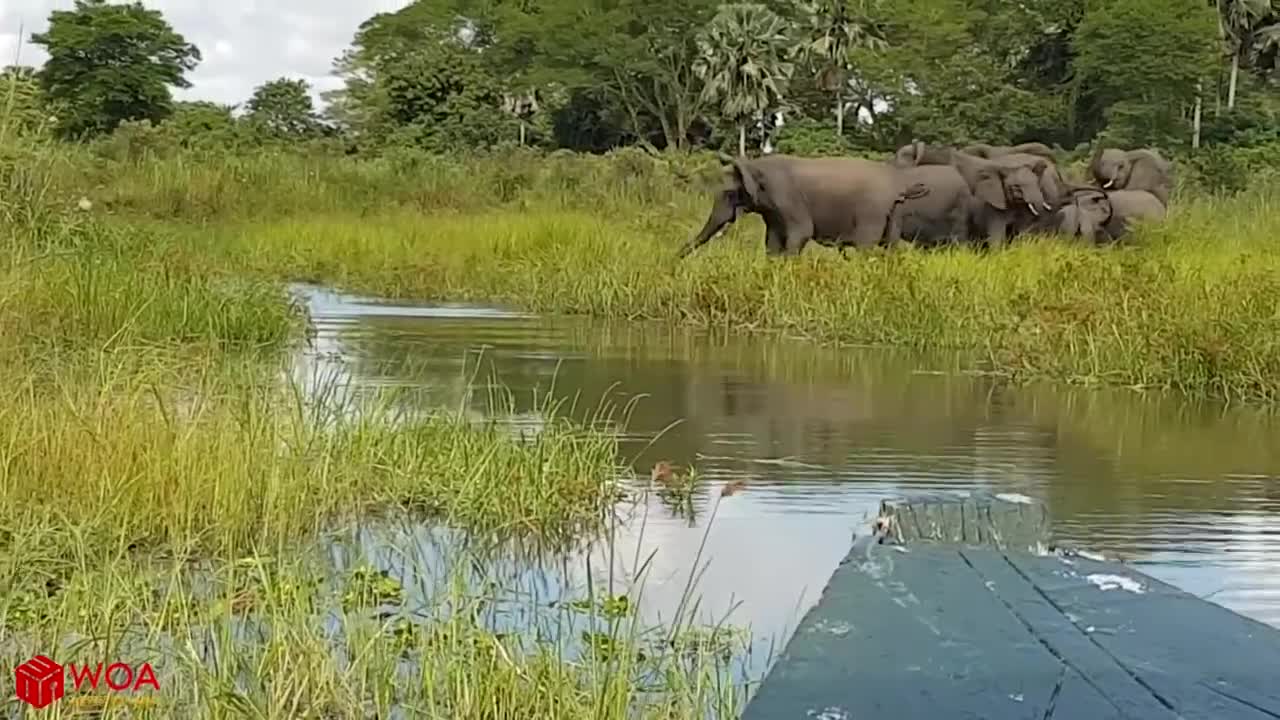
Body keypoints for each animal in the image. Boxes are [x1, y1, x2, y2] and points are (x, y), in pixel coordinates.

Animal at [680, 151, 931, 257]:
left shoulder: (786, 197)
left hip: (871, 212)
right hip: (893, 212)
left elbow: (801, 233)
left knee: (864, 247)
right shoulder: (773, 211)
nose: (676, 261)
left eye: (729, 194)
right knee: (891, 246)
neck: (755, 164)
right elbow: (772, 241)